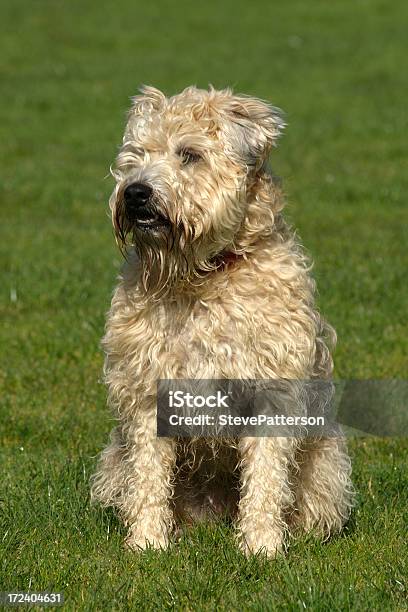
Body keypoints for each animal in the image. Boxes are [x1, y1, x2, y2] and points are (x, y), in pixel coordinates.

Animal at [90, 83, 354, 556]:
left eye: (189, 154)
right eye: (136, 154)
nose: (135, 192)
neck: (204, 275)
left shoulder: (271, 391)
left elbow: (265, 477)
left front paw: (262, 546)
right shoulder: (148, 388)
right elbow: (149, 476)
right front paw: (147, 542)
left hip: (325, 466)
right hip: (114, 461)